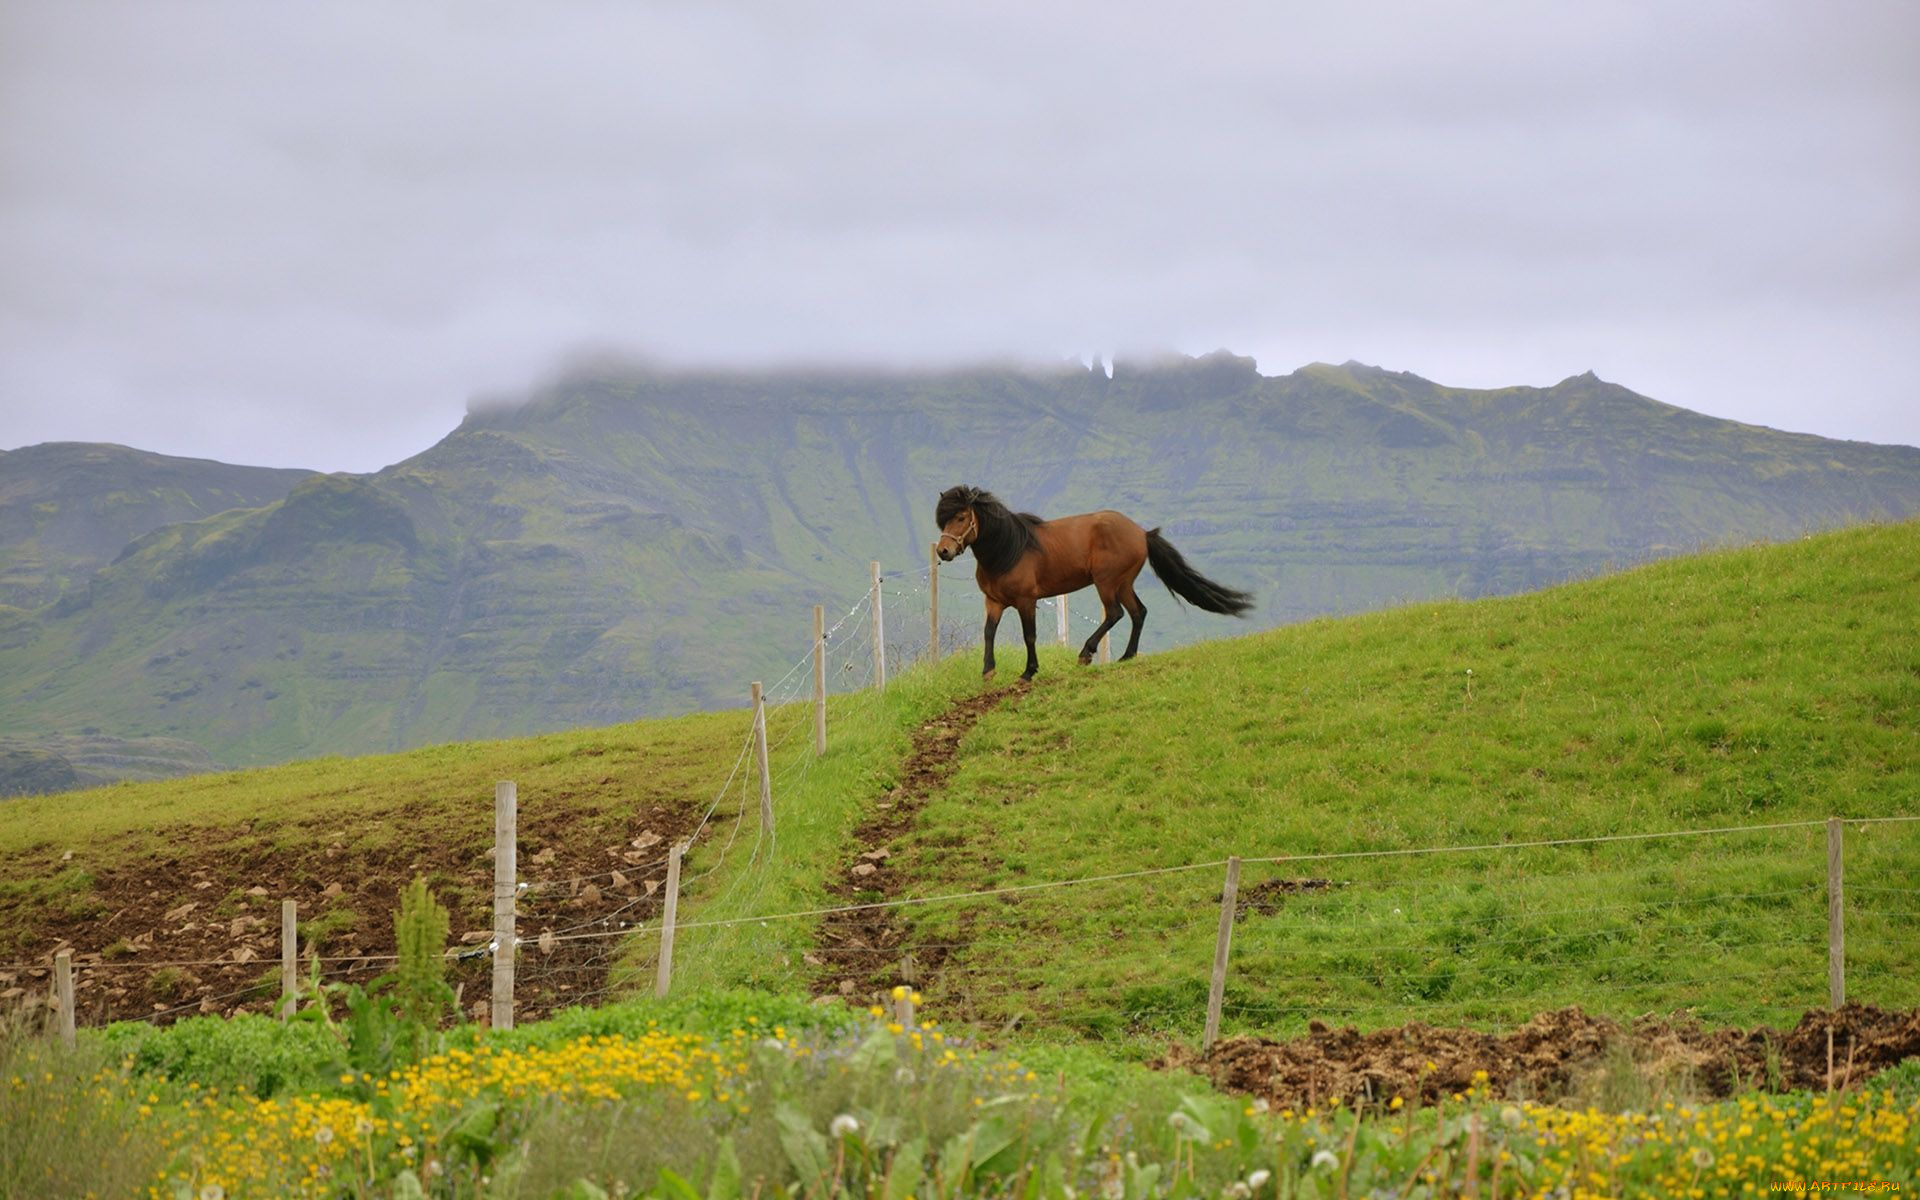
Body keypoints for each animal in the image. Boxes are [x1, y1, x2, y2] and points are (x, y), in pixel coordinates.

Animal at [933, 481, 1259, 679]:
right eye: (943, 519)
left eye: (961, 517)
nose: (943, 551)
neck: (1009, 550)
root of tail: (1141, 533)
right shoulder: (994, 602)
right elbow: (988, 633)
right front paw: (988, 671)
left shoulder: (1027, 601)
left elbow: (1030, 636)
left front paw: (1029, 671)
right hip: (1123, 584)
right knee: (1138, 612)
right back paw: (1127, 656)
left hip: (1107, 583)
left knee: (1115, 613)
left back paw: (1086, 653)